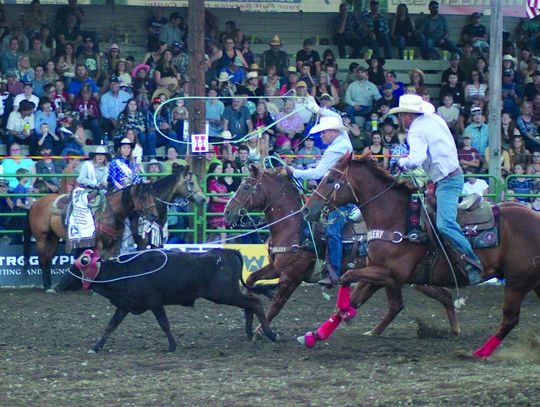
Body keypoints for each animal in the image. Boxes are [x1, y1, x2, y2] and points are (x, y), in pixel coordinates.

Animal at [221, 164, 458, 336]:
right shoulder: (276, 267)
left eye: (245, 187)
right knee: (415, 302)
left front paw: (260, 331)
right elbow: (251, 279)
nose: (227, 212)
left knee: (438, 297)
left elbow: (277, 305)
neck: (294, 225)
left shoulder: (292, 276)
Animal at [302, 153, 540, 356]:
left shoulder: (390, 274)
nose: (307, 210)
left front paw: (346, 313)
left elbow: (347, 278)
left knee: (509, 320)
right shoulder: (380, 273)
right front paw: (315, 335)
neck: (394, 218)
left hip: (517, 282)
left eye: (331, 180)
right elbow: (356, 296)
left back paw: (479, 353)